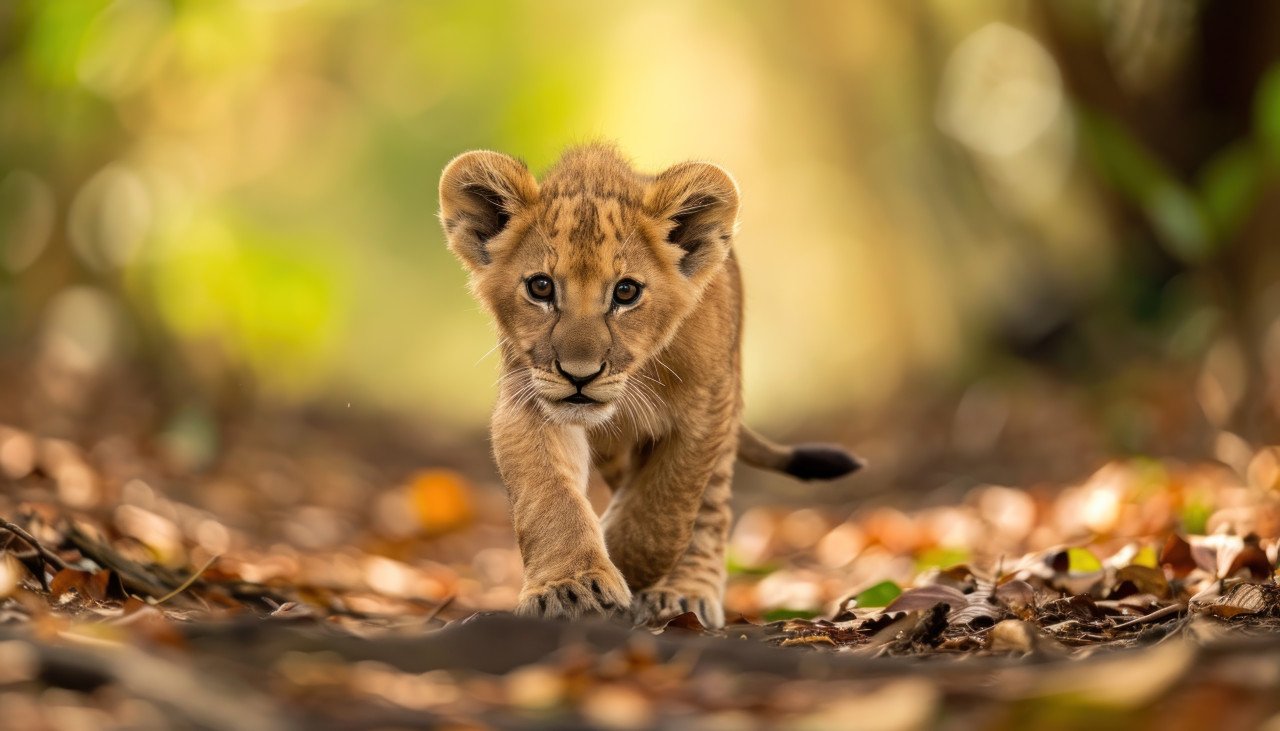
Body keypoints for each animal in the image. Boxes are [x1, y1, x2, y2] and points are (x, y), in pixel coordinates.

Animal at [438, 145, 860, 628]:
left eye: (626, 292)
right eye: (541, 287)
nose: (579, 374)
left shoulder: (706, 410)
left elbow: (663, 510)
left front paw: (622, 558)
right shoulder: (529, 399)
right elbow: (549, 496)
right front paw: (573, 587)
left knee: (708, 511)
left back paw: (684, 593)